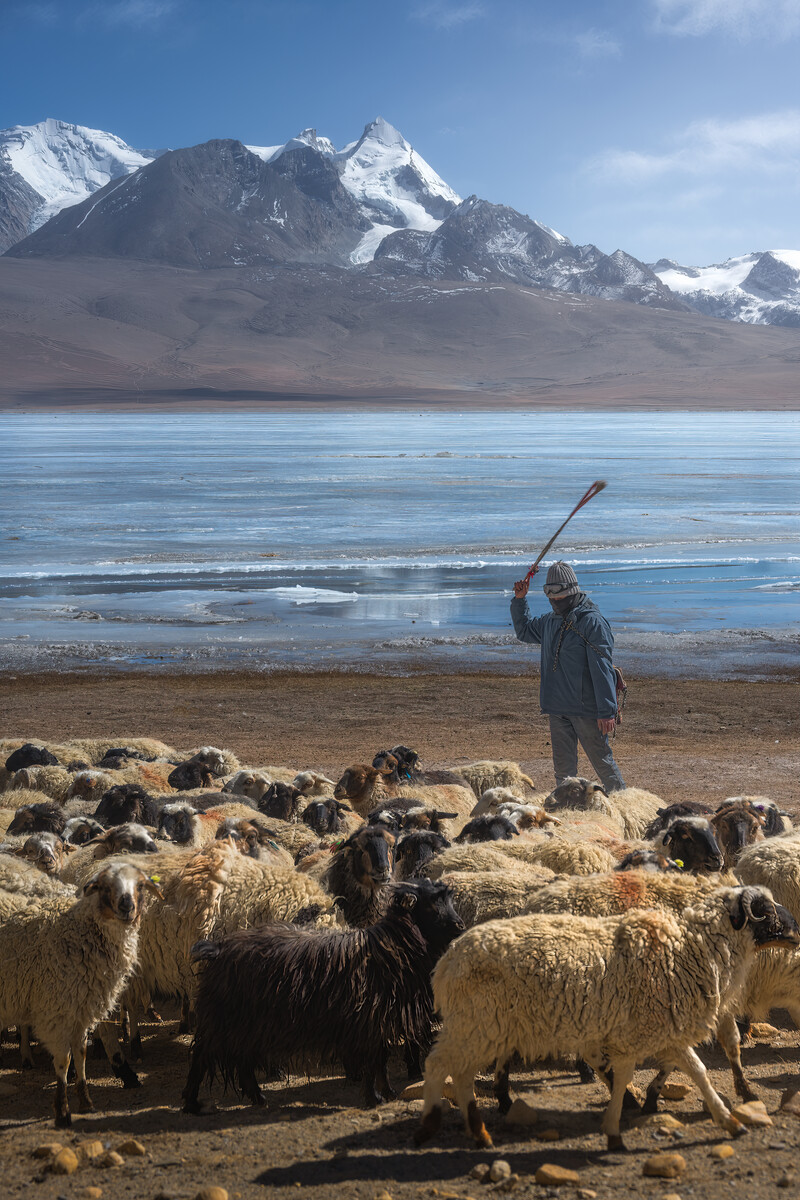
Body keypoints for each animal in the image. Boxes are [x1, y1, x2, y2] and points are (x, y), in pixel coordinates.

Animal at [0, 864, 160, 1123]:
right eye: (105, 886)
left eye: (140, 885)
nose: (127, 908)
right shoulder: (57, 1010)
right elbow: (64, 1061)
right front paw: (62, 1110)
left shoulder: (81, 1009)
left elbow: (81, 1054)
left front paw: (85, 1102)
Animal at [182, 878, 465, 1108]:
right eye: (431, 903)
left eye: (449, 899)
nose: (460, 924)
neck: (390, 948)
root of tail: (218, 948)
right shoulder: (369, 1021)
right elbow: (372, 1063)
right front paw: (373, 1098)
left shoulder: (379, 1021)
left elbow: (380, 1061)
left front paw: (388, 1093)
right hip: (223, 1019)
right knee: (202, 1056)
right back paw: (191, 1103)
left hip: (246, 1023)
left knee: (242, 1060)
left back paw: (258, 1097)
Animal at [417, 883, 796, 1152]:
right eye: (764, 909)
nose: (795, 929)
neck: (688, 951)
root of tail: (446, 964)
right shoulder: (639, 1031)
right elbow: (631, 1074)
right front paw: (615, 1130)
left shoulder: (663, 1030)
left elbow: (697, 1072)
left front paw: (730, 1121)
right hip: (477, 1022)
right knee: (439, 1065)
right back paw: (431, 1123)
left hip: (481, 1028)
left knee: (461, 1074)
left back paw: (479, 1133)